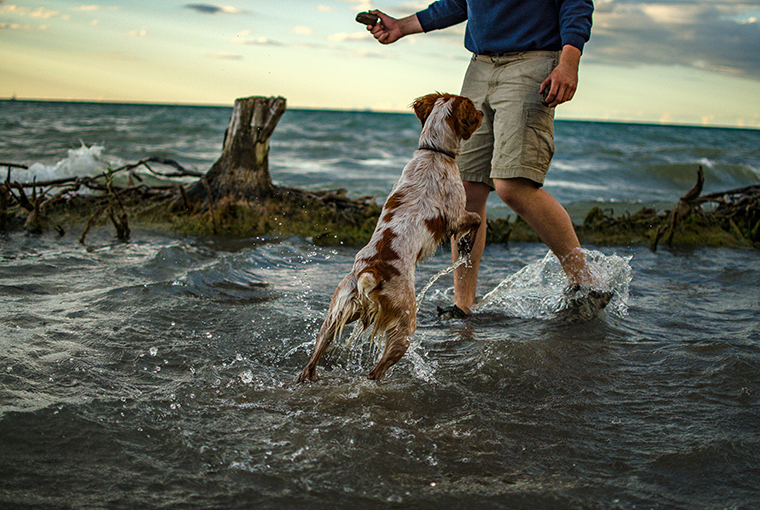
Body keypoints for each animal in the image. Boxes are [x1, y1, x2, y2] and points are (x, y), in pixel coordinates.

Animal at [296, 92, 480, 382]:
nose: (484, 113)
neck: (433, 151)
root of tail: (369, 272)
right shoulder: (456, 215)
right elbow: (478, 219)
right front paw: (466, 244)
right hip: (404, 326)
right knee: (375, 371)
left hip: (335, 316)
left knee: (312, 359)